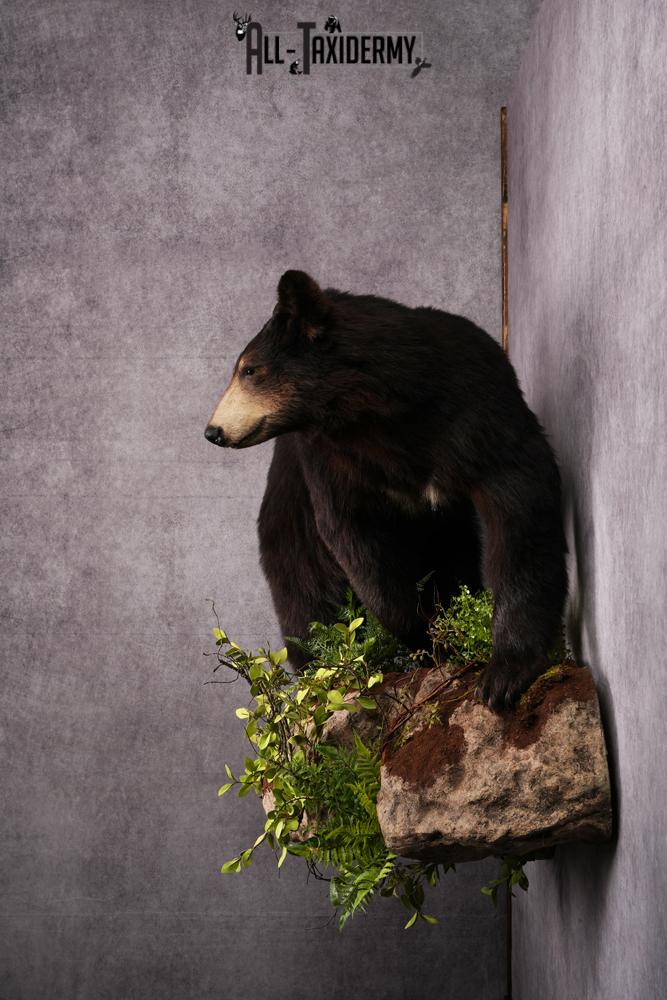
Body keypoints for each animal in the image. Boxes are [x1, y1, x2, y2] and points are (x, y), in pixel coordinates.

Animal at [205, 270, 568, 710]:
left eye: (250, 370)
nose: (213, 431)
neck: (378, 418)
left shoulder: (475, 408)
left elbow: (518, 502)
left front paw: (503, 674)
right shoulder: (330, 461)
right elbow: (357, 542)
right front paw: (429, 640)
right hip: (290, 519)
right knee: (306, 592)